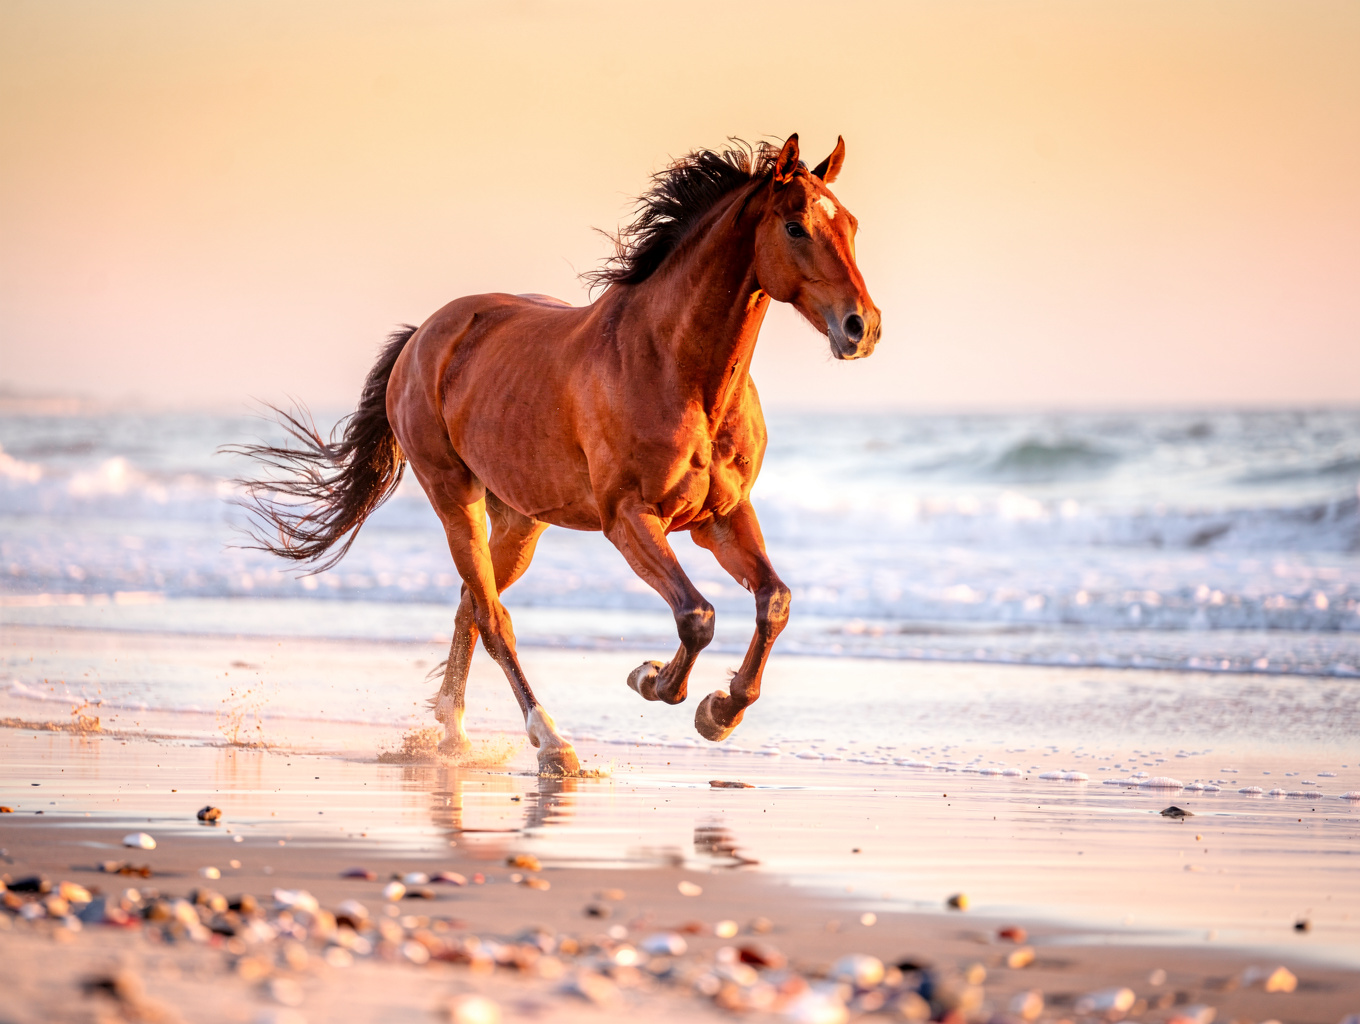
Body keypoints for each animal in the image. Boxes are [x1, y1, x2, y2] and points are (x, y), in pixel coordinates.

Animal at [234, 134, 881, 773]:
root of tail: (423, 336)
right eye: (795, 226)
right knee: (493, 617)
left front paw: (719, 712)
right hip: (455, 497)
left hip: (522, 520)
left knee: (471, 604)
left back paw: (452, 733)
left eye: (850, 223)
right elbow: (696, 617)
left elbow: (774, 602)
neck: (677, 372)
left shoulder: (720, 517)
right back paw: (550, 741)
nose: (862, 327)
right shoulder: (629, 518)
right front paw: (652, 679)